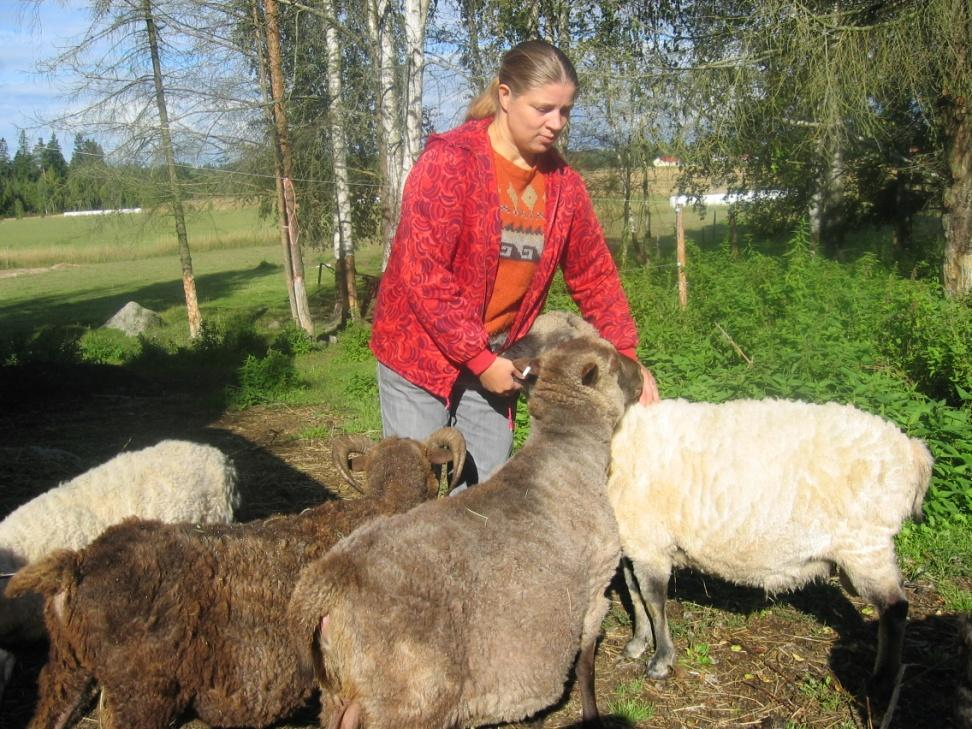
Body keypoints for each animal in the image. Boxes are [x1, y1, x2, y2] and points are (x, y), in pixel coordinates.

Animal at [284, 334, 640, 728]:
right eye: (613, 363)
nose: (641, 373)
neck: (569, 450)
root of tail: (325, 582)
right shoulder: (595, 586)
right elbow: (586, 664)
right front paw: (592, 715)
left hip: (339, 688)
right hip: (409, 697)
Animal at [608, 398, 936, 692]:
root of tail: (912, 450)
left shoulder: (651, 544)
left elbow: (654, 601)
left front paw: (661, 661)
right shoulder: (633, 544)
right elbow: (636, 595)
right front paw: (637, 643)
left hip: (866, 544)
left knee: (895, 608)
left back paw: (883, 678)